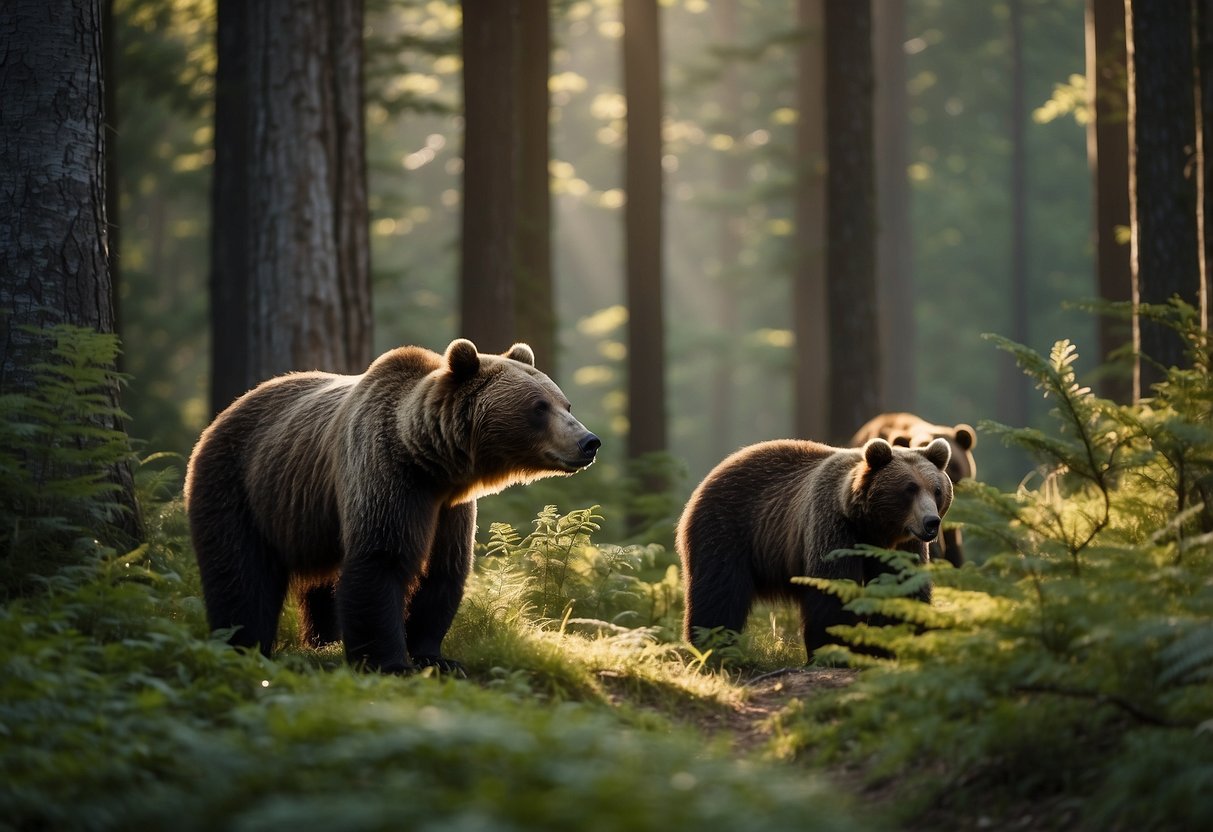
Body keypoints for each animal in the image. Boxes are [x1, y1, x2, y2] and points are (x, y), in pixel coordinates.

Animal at [185, 339, 601, 669]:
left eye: (565, 404)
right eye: (539, 407)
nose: (589, 441)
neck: (430, 461)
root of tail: (227, 410)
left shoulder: (450, 508)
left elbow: (442, 572)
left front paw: (435, 656)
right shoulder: (386, 475)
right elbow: (382, 560)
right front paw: (390, 662)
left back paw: (323, 640)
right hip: (240, 486)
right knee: (240, 573)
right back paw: (243, 643)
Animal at [679, 436, 950, 664]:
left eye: (937, 490)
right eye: (909, 488)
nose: (931, 522)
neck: (872, 529)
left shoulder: (903, 547)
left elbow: (902, 589)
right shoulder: (833, 527)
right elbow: (833, 589)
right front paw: (835, 649)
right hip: (727, 528)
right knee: (719, 590)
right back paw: (712, 643)